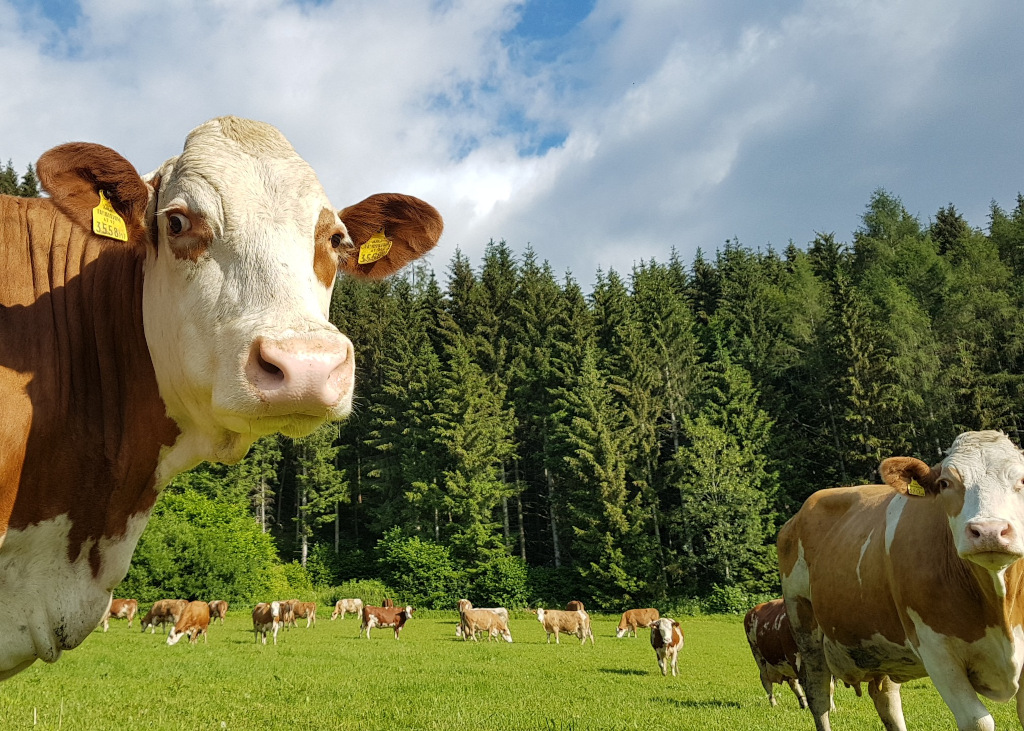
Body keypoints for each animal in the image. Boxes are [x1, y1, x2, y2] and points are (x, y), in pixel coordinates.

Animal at [779, 430, 1024, 731]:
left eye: (1023, 479)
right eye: (945, 483)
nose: (989, 531)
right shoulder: (936, 651)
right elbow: (978, 721)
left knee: (885, 697)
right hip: (804, 627)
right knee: (819, 696)